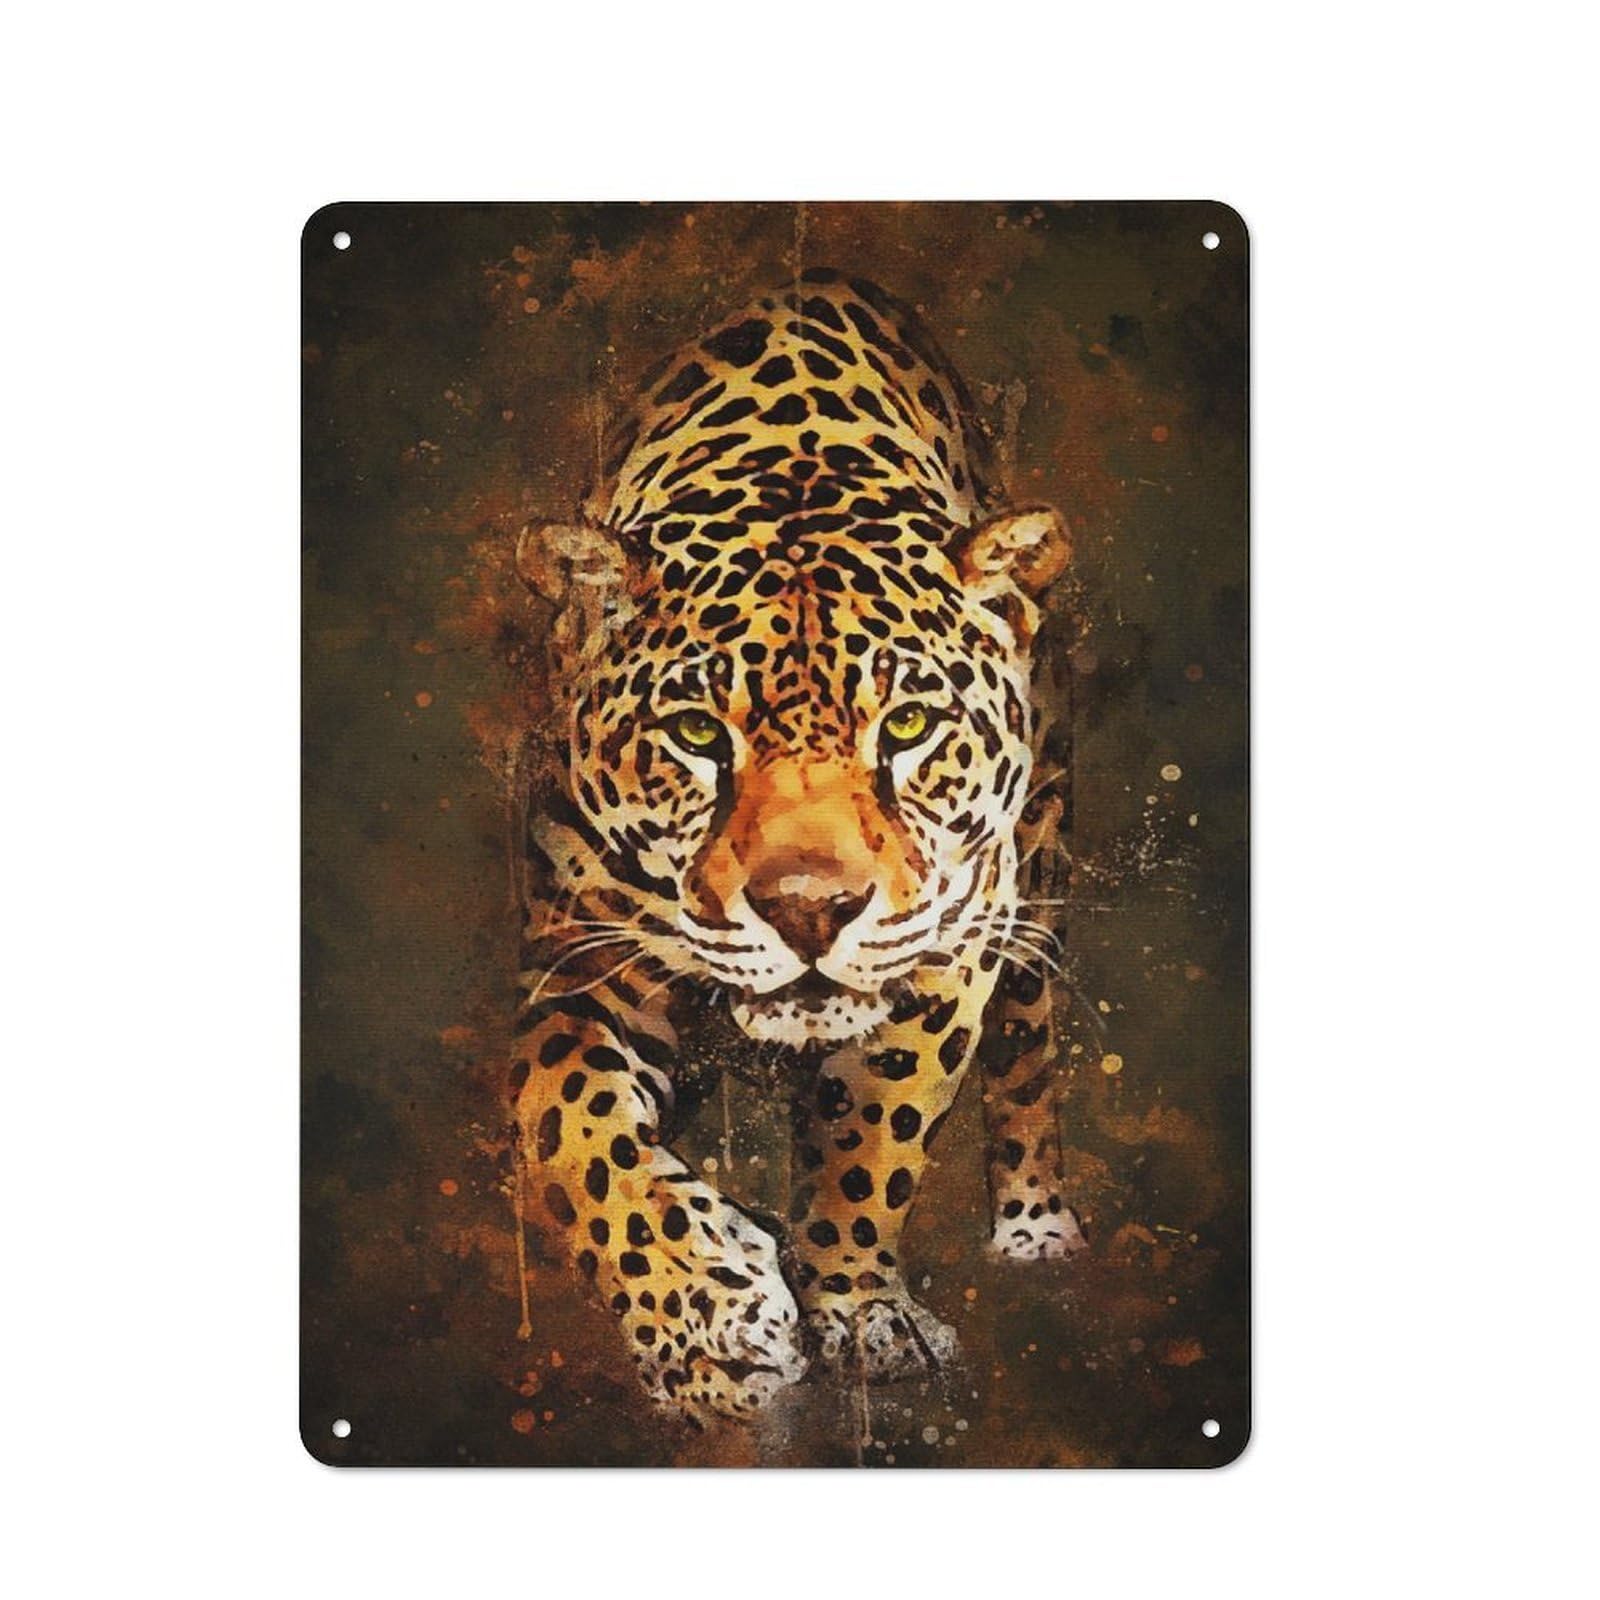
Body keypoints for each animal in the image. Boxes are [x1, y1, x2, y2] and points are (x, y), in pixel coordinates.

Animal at [510, 267, 1087, 1425]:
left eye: (906, 725)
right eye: (698, 734)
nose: (809, 909)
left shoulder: (951, 949)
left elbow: (875, 1133)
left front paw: (857, 1311)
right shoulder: (576, 964)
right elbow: (573, 1130)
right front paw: (709, 1319)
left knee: (1029, 1053)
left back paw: (1037, 1226)